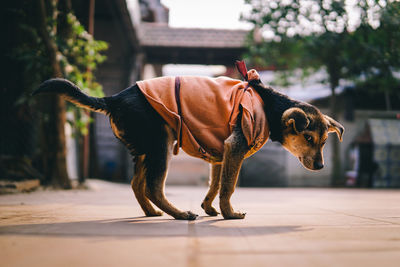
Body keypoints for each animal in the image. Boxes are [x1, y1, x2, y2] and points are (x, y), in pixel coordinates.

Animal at [33, 63, 344, 222]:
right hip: (161, 145)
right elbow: (228, 187)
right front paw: (229, 214)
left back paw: (151, 212)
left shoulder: (222, 153)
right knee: (153, 186)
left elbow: (215, 185)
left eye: (324, 143)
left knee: (136, 184)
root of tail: (114, 99)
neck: (269, 106)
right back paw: (181, 214)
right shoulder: (235, 147)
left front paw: (210, 208)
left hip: (146, 149)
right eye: (308, 138)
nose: (320, 166)